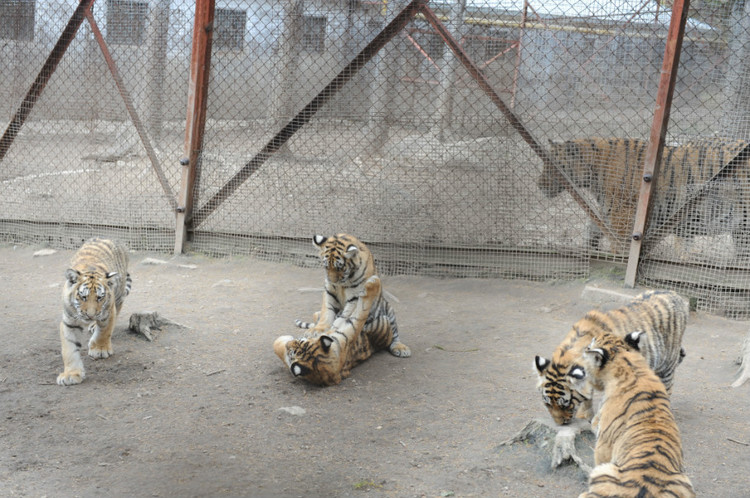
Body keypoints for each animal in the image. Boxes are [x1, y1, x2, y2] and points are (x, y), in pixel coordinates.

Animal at [56, 239, 131, 388]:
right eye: (83, 297)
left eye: (100, 297)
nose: (90, 315)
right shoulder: (69, 322)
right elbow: (69, 349)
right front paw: (71, 375)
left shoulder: (108, 312)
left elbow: (104, 332)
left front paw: (100, 350)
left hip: (119, 295)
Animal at [274, 233, 412, 386]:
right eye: (326, 266)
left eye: (339, 267)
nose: (332, 280)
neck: (342, 283)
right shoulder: (330, 291)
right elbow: (326, 313)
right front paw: (317, 330)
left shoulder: (354, 298)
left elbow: (344, 318)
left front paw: (330, 331)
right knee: (317, 315)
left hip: (388, 311)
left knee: (394, 334)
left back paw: (400, 348)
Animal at [536, 137, 750, 251]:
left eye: (550, 166)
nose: (538, 185)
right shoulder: (609, 213)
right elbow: (593, 229)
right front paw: (590, 251)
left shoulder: (623, 216)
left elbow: (619, 244)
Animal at [536, 290, 692, 426]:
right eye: (547, 403)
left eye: (566, 404)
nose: (560, 424)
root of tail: (676, 295)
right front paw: (584, 415)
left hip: (667, 367)